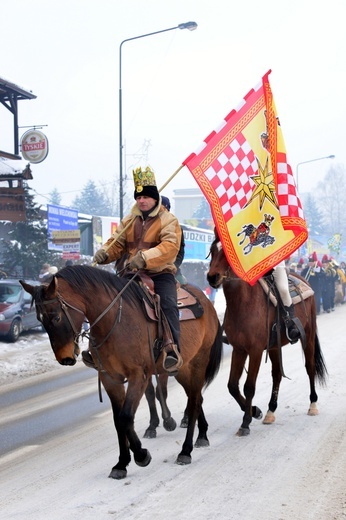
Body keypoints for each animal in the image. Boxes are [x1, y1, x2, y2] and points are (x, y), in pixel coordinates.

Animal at [20, 266, 223, 482]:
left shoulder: (138, 376)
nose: (64, 358)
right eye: (40, 319)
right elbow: (118, 420)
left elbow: (126, 416)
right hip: (182, 369)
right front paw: (122, 463)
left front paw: (141, 455)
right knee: (196, 397)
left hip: (198, 362)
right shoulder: (110, 379)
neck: (114, 322)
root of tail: (206, 302)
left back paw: (186, 450)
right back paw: (202, 435)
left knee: (193, 401)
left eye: (57, 317)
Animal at [207, 232, 328, 434]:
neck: (243, 303)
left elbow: (249, 386)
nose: (212, 277)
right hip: (273, 347)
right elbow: (232, 385)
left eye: (226, 255)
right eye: (212, 250)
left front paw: (246, 421)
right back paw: (271, 410)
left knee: (310, 367)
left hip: (309, 336)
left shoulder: (255, 351)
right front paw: (255, 411)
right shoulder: (239, 350)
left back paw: (313, 405)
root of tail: (304, 280)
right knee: (277, 374)